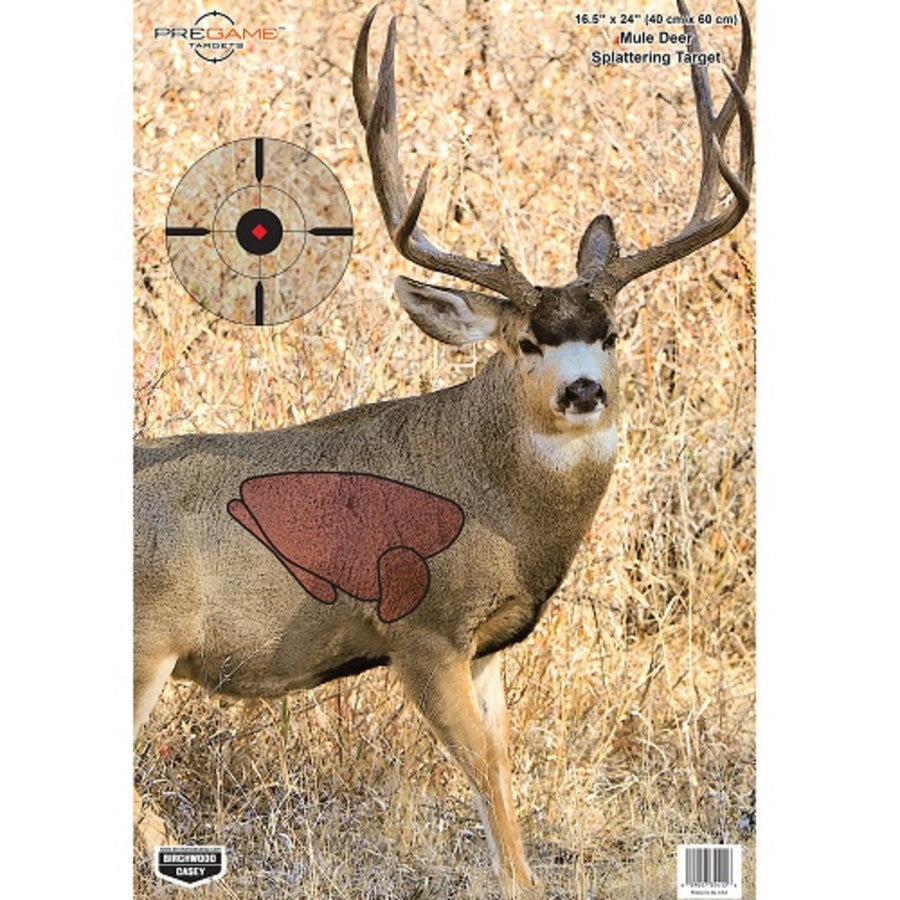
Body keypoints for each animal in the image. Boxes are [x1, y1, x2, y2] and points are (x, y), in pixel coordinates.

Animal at [134, 2, 753, 895]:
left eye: (610, 333)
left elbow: (504, 770)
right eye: (528, 342)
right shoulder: (421, 631)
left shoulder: (488, 646)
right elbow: (483, 776)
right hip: (143, 646)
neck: (496, 506)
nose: (583, 391)